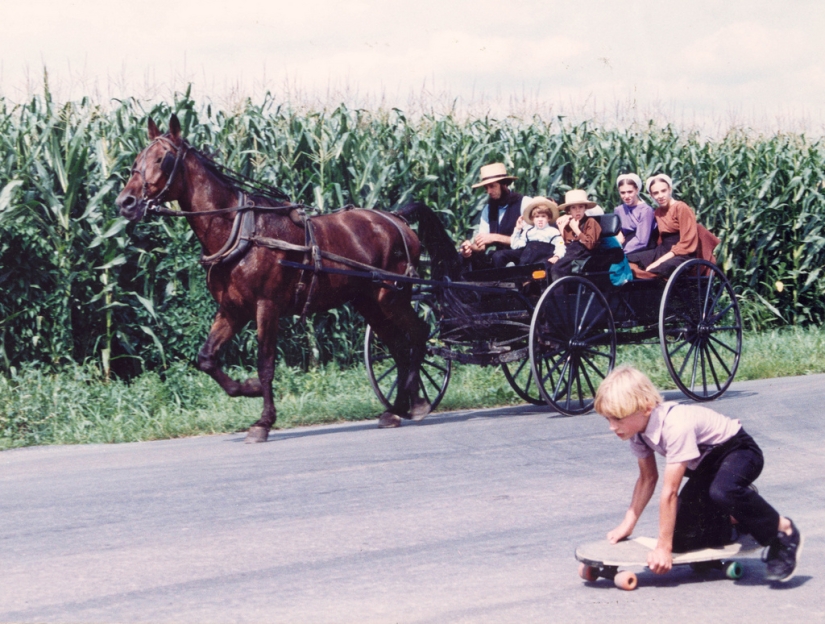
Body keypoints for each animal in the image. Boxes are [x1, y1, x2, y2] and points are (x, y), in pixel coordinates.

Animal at [118, 114, 428, 442]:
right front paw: (247, 388)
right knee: (399, 346)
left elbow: (265, 364)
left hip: (392, 296)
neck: (241, 230)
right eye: (137, 159)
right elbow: (207, 358)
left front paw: (263, 421)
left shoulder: (266, 306)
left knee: (418, 335)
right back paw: (398, 407)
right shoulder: (232, 309)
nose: (125, 202)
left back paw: (415, 402)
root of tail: (397, 219)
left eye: (163, 159)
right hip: (369, 302)